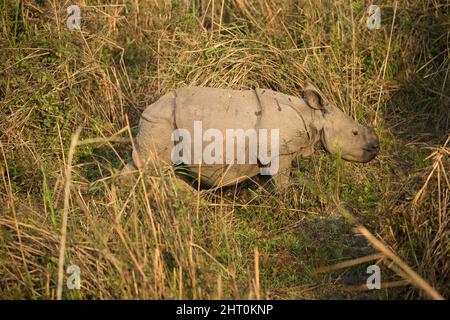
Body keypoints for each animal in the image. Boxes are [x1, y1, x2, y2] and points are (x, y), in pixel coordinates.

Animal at [122, 82, 380, 189]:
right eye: (355, 132)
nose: (377, 147)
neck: (313, 116)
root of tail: (147, 110)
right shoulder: (279, 152)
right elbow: (283, 183)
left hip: (163, 121)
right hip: (161, 122)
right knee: (152, 165)